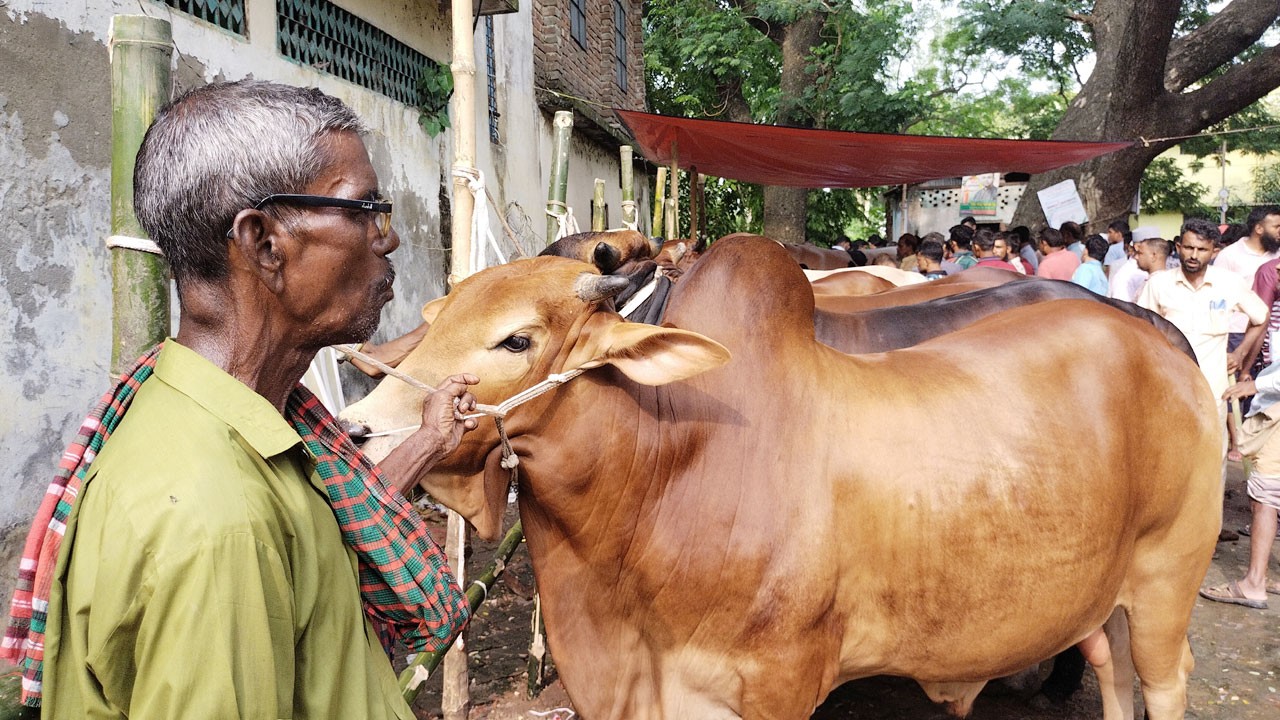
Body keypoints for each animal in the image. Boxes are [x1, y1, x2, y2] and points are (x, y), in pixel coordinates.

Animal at [343, 235, 1218, 717]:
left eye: (517, 339)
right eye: (435, 317)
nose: (359, 428)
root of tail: (1162, 343)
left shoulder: (779, 683)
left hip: (1167, 582)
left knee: (1165, 683)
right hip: (1105, 602)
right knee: (1113, 681)